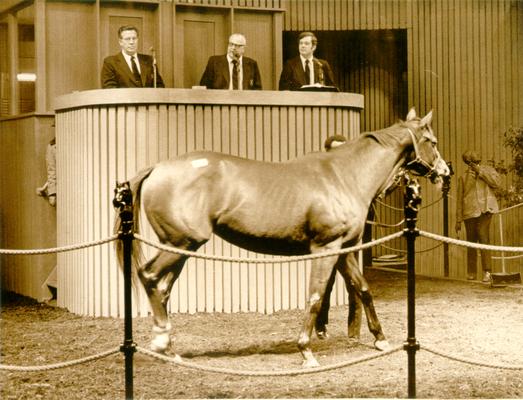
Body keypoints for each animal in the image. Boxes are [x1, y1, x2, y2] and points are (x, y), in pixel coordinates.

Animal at [114, 108, 450, 368]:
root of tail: (157, 168)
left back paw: (170, 349)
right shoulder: (326, 248)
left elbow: (363, 289)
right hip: (180, 243)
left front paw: (380, 339)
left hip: (182, 247)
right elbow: (315, 296)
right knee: (149, 276)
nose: (446, 172)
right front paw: (306, 350)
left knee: (163, 288)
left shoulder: (345, 249)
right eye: (432, 142)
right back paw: (161, 340)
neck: (343, 176)